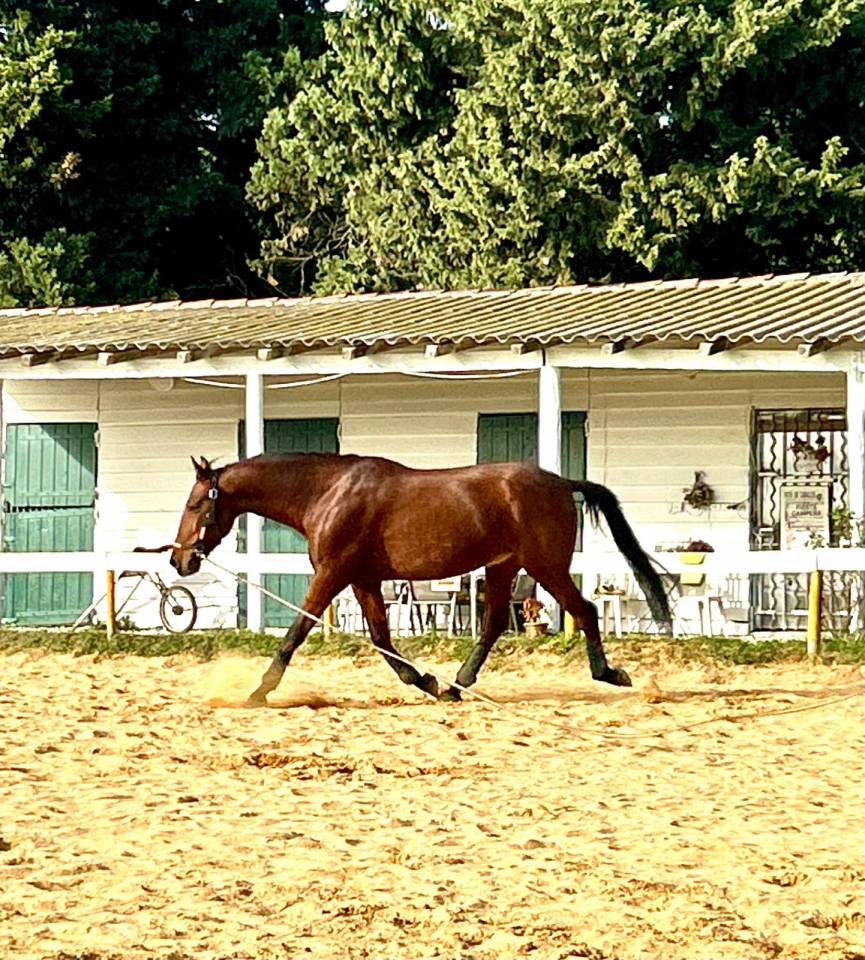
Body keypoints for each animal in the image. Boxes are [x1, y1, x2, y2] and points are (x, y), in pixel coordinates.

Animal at [170, 453, 672, 705]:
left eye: (195, 505)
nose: (180, 561)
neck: (327, 492)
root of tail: (562, 482)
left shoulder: (333, 573)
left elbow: (296, 633)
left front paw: (258, 691)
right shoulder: (364, 580)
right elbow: (382, 639)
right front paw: (426, 681)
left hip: (544, 566)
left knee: (583, 611)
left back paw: (609, 674)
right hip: (504, 567)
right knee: (493, 625)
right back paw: (454, 686)